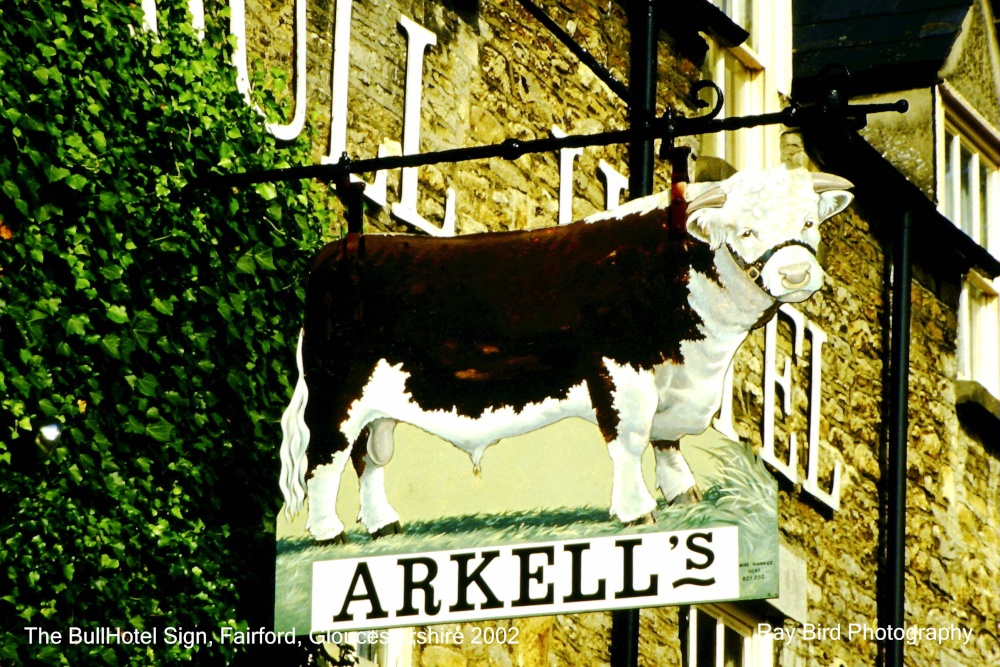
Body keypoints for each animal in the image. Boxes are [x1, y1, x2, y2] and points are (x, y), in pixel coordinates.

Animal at [280, 166, 852, 544]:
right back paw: (328, 531)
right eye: (745, 230)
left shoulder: (677, 383)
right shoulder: (622, 373)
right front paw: (636, 510)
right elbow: (630, 440)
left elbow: (666, 441)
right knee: (325, 459)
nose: (796, 274)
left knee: (369, 459)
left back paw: (383, 524)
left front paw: (681, 492)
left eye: (808, 222)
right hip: (337, 393)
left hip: (380, 405)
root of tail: (342, 250)